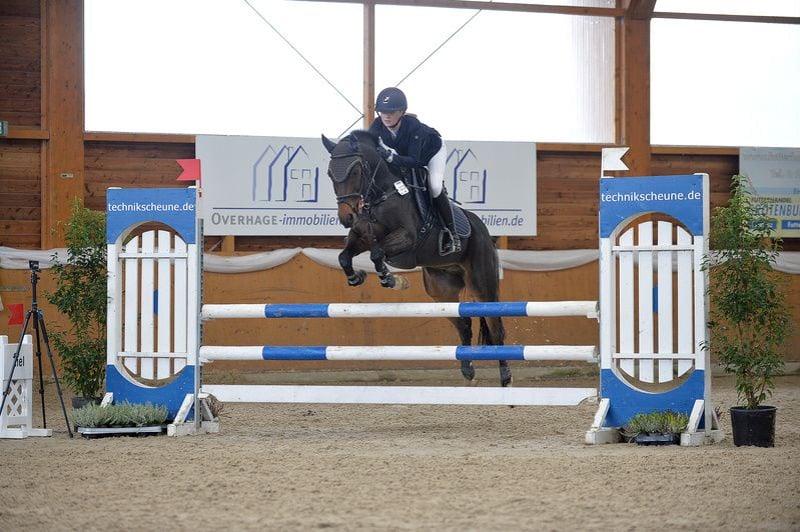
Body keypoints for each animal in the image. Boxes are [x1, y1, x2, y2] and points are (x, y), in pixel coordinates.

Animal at [321, 130, 511, 387]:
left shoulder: (408, 237)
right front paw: (356, 277)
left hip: (482, 285)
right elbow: (344, 257)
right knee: (463, 324)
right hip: (441, 291)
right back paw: (467, 370)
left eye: (356, 172)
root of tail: (485, 232)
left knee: (496, 328)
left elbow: (377, 253)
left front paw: (392, 280)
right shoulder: (360, 237)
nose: (346, 218)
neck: (380, 195)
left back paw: (506, 378)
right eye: (330, 174)